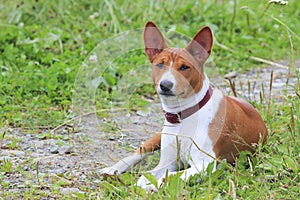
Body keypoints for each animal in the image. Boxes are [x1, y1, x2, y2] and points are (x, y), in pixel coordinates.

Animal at [101, 21, 268, 191]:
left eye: (184, 67)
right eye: (160, 65)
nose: (165, 85)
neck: (183, 117)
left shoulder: (203, 165)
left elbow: (170, 176)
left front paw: (153, 186)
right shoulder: (167, 162)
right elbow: (147, 175)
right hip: (157, 137)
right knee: (140, 151)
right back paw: (113, 168)